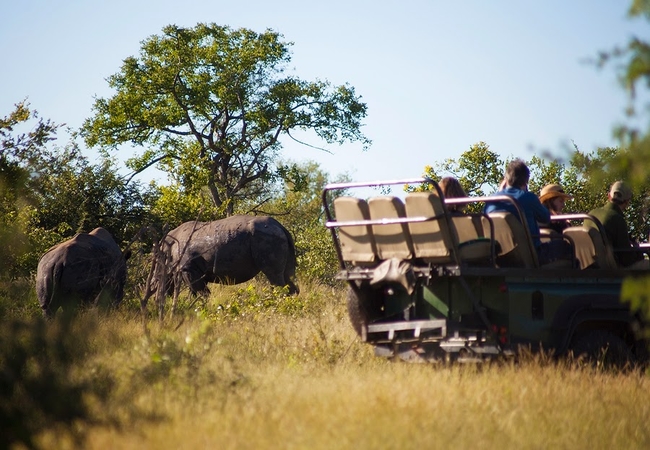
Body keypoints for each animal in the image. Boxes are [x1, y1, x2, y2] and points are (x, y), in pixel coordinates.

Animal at [163, 216, 300, 298]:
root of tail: (280, 226)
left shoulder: (188, 268)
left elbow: (202, 293)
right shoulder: (196, 271)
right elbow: (194, 294)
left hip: (267, 237)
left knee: (274, 276)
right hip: (278, 236)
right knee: (287, 275)